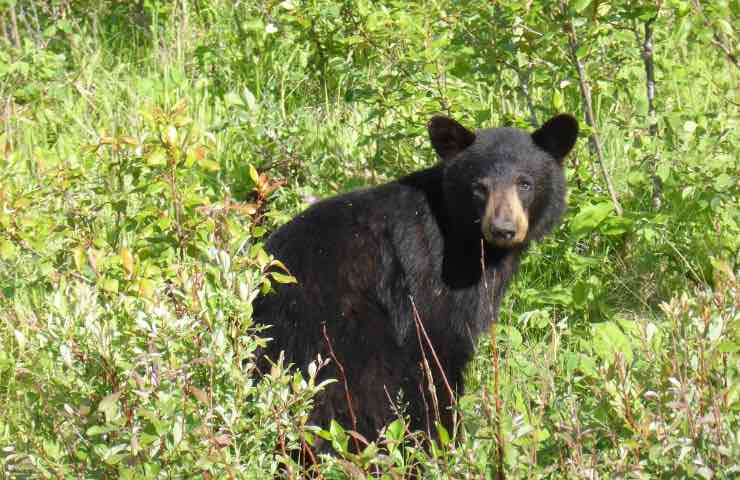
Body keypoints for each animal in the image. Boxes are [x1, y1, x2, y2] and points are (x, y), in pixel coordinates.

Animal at [254, 112, 580, 446]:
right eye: (479, 187)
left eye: (525, 183)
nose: (503, 229)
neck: (466, 238)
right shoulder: (431, 278)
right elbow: (438, 351)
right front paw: (446, 438)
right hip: (340, 333)